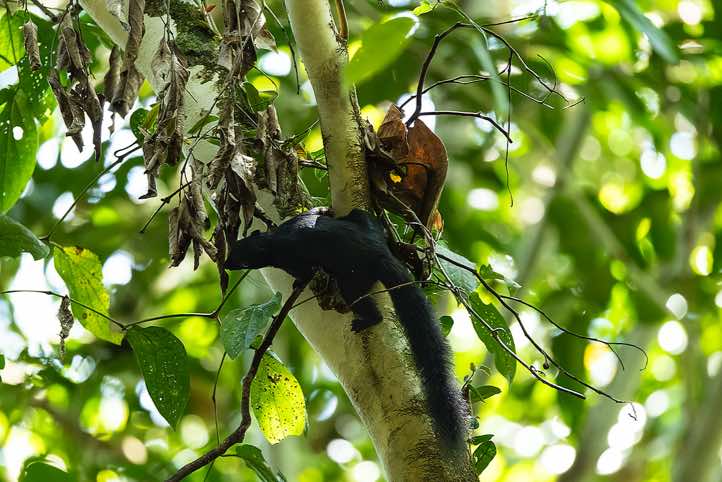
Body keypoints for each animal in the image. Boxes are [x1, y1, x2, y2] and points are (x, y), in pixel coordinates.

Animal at [225, 208, 468, 449]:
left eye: (242, 261)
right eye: (232, 249)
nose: (225, 264)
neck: (273, 240)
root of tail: (378, 251)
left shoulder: (293, 261)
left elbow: (304, 273)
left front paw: (299, 283)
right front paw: (322, 210)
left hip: (352, 280)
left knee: (370, 309)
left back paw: (366, 320)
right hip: (363, 221)